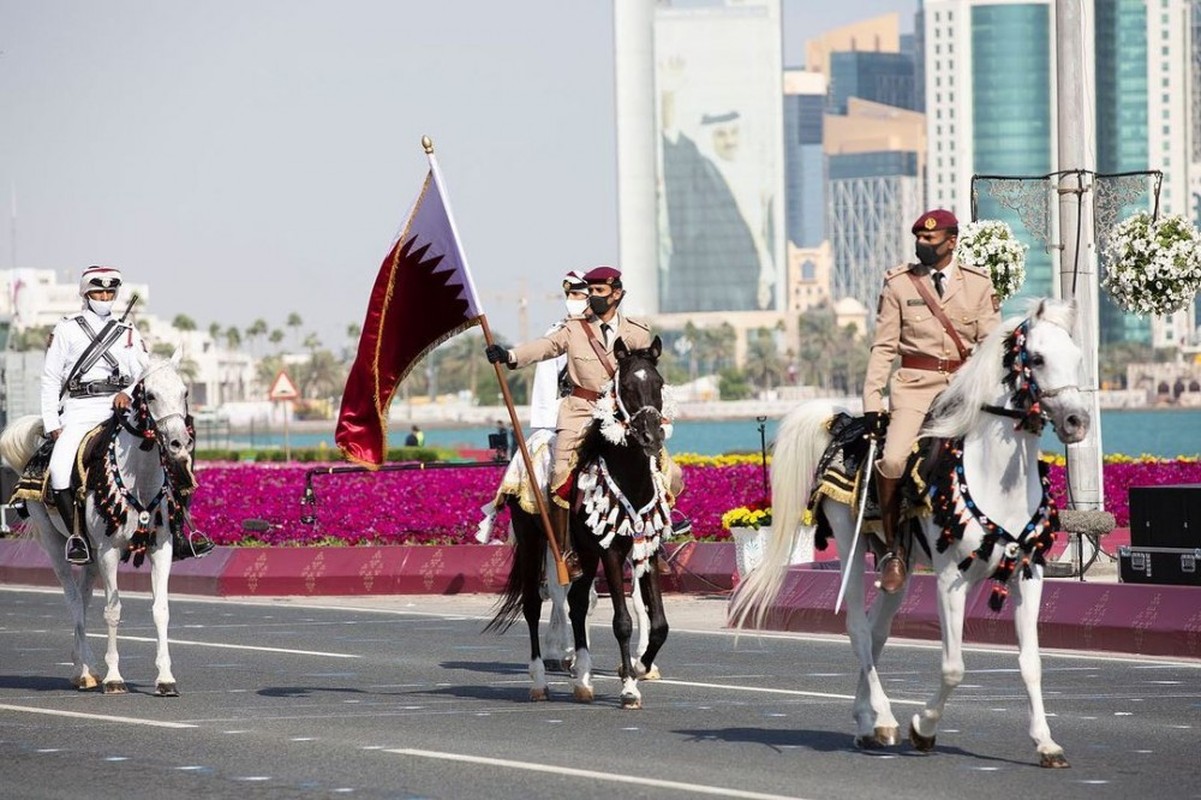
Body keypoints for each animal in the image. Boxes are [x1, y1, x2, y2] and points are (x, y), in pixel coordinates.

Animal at [0, 355, 194, 691]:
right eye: (151, 395)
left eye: (183, 392)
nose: (179, 444)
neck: (139, 476)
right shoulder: (109, 552)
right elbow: (113, 610)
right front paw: (114, 677)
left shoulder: (161, 549)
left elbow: (161, 610)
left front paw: (165, 678)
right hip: (56, 545)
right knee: (73, 599)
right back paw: (87, 669)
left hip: (90, 555)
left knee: (84, 597)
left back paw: (82, 666)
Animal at [730, 299, 1090, 768]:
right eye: (1040, 358)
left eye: (1078, 356)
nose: (1077, 421)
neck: (994, 476)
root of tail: (842, 423)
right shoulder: (950, 579)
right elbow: (954, 667)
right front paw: (923, 728)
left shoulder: (1028, 574)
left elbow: (1031, 662)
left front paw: (1046, 743)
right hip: (848, 544)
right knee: (858, 629)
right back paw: (883, 720)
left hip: (893, 563)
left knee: (877, 629)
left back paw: (865, 721)